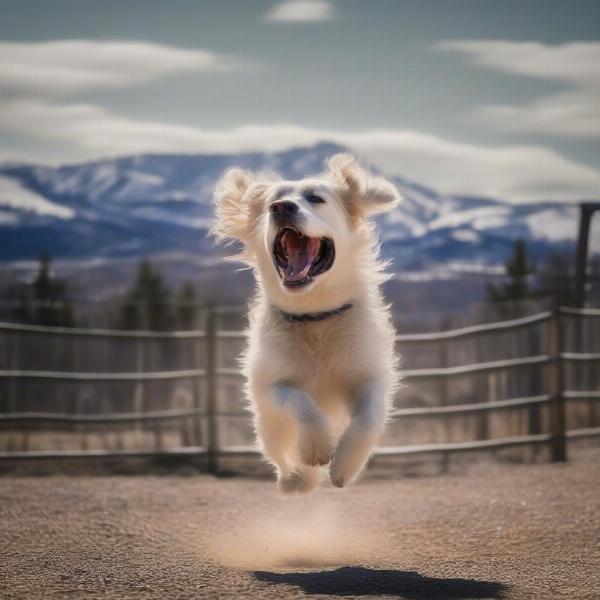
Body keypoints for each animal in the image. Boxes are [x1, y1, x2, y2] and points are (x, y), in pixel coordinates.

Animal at [213, 154, 400, 492]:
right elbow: (299, 401)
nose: (281, 207)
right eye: (272, 201)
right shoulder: (269, 385)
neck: (315, 316)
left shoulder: (370, 375)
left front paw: (344, 466)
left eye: (315, 198)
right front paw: (314, 448)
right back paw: (296, 480)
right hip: (268, 428)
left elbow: (368, 418)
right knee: (281, 455)